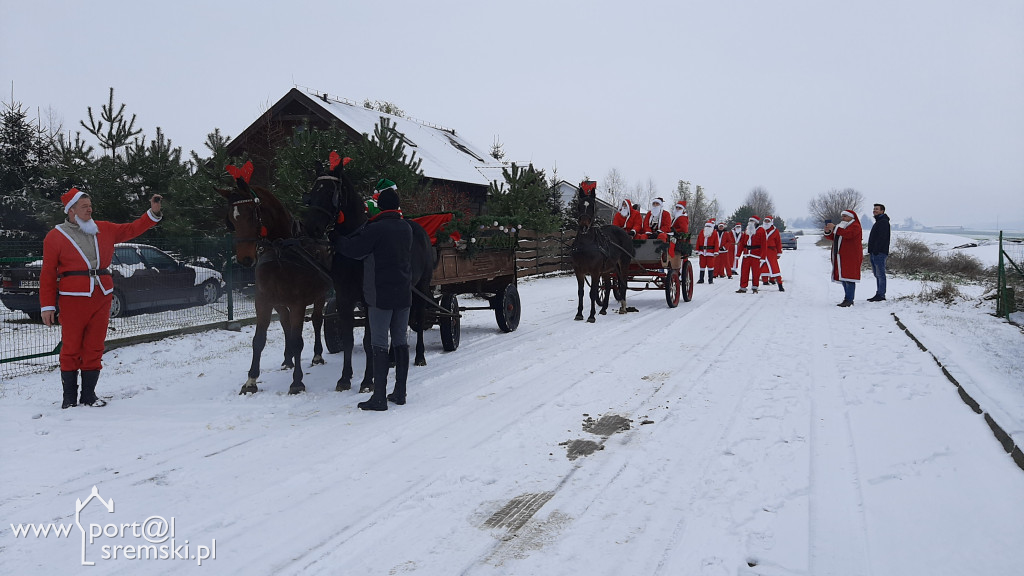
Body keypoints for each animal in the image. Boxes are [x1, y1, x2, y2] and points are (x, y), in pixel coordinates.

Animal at [220, 161, 331, 393]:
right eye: (231, 219)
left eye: (252, 213)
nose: (244, 259)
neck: (281, 252)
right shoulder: (263, 301)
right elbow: (259, 340)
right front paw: (251, 380)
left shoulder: (298, 303)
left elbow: (298, 340)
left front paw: (297, 382)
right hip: (279, 303)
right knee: (285, 323)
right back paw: (288, 359)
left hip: (320, 296)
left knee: (317, 321)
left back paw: (317, 355)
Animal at [299, 152, 436, 391]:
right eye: (313, 191)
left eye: (330, 192)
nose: (311, 227)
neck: (355, 244)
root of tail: (421, 230)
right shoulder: (344, 297)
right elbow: (348, 339)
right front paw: (345, 378)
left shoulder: (369, 300)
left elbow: (368, 340)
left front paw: (367, 380)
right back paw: (391, 359)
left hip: (422, 287)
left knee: (418, 319)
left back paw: (419, 356)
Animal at [569, 181, 630, 319]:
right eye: (579, 206)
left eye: (592, 206)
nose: (584, 226)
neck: (586, 245)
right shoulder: (578, 270)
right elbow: (581, 292)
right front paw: (579, 314)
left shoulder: (595, 271)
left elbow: (592, 292)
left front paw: (591, 316)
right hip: (608, 268)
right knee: (607, 286)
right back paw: (603, 308)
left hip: (623, 264)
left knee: (623, 283)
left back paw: (623, 307)